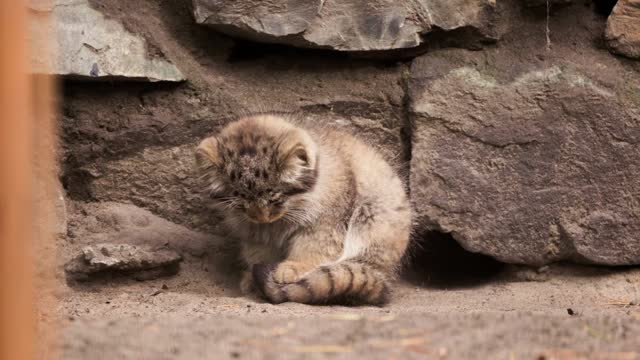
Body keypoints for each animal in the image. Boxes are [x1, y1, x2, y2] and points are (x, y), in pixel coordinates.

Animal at [195, 113, 410, 304]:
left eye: (275, 198)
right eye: (241, 203)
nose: (261, 217)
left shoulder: (325, 224)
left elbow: (313, 249)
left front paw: (292, 268)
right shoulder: (256, 235)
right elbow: (258, 254)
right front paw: (252, 276)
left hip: (372, 219)